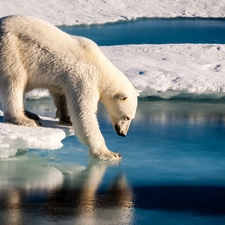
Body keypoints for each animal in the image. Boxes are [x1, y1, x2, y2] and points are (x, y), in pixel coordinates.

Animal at [0, 15, 137, 160]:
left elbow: (60, 95)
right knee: (14, 82)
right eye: (127, 117)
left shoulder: (64, 79)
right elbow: (83, 113)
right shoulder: (85, 78)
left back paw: (31, 114)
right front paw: (110, 153)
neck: (100, 67)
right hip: (11, 51)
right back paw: (26, 119)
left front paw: (66, 119)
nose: (123, 133)